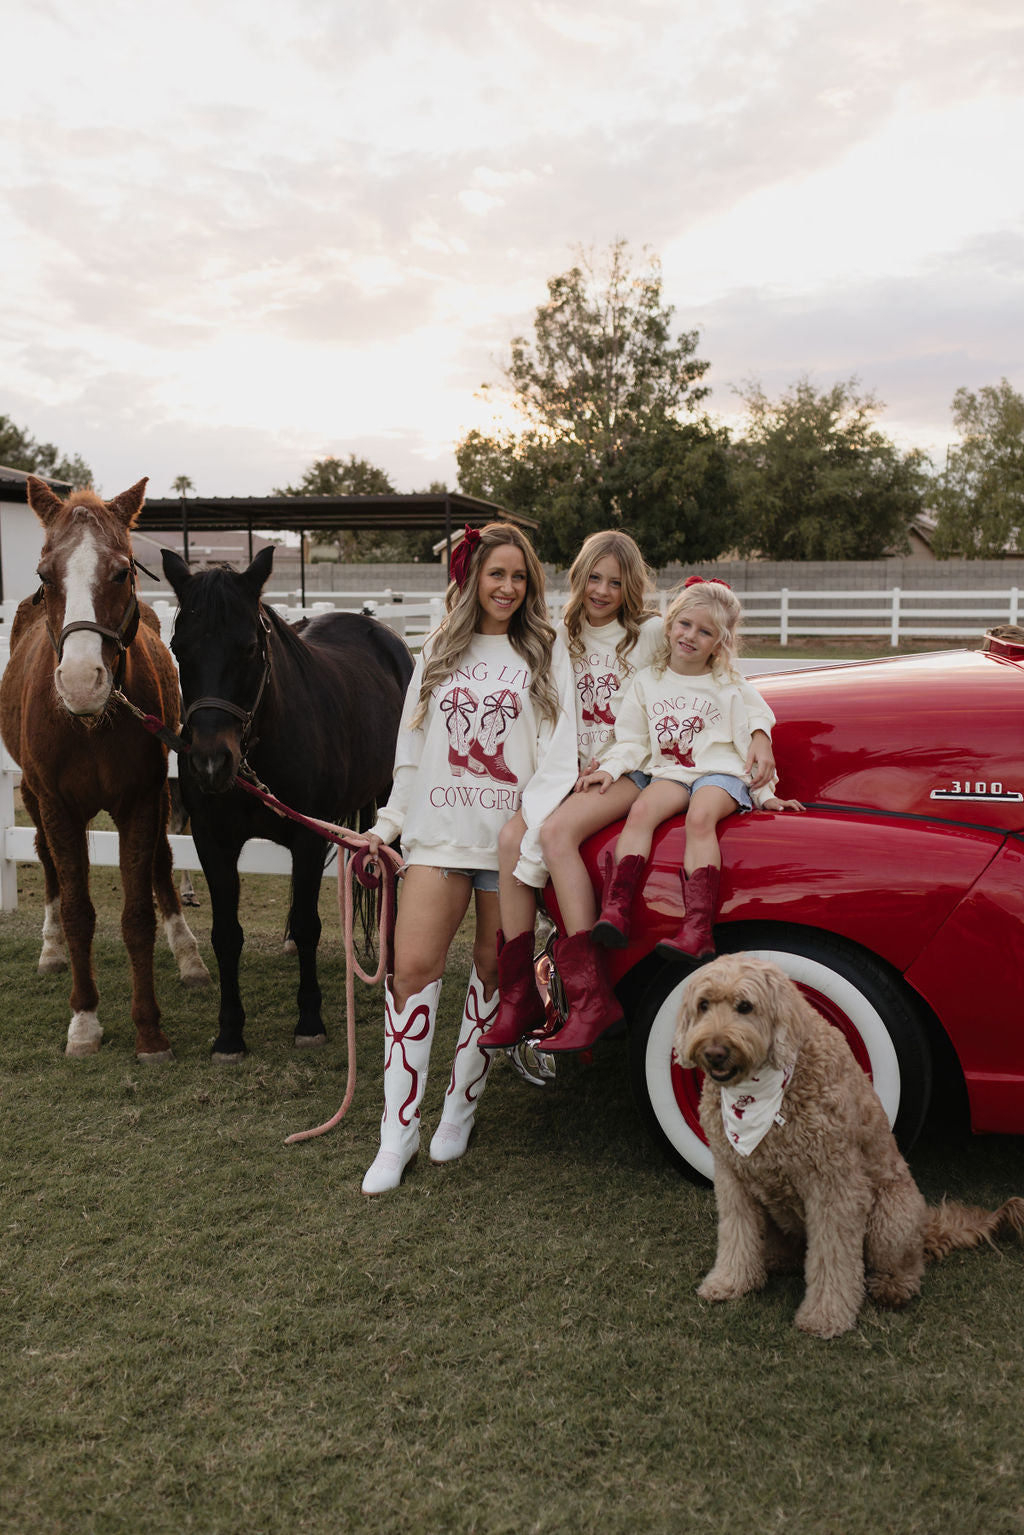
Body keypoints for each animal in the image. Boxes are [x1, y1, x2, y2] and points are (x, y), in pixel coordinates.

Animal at [0, 475, 210, 1056]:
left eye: (121, 572)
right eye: (44, 575)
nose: (79, 682)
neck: (90, 726)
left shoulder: (141, 800)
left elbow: (137, 913)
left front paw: (149, 1031)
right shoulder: (56, 807)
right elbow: (77, 911)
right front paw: (85, 1020)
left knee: (162, 861)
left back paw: (188, 956)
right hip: (31, 797)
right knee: (47, 864)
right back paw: (50, 950)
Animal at [161, 546, 414, 1062]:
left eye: (248, 648)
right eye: (179, 648)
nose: (210, 762)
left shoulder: (306, 839)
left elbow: (309, 921)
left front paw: (310, 1020)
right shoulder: (212, 842)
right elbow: (226, 933)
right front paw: (230, 1033)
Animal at [672, 951, 1024, 1338]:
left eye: (745, 1006)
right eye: (704, 1005)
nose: (714, 1052)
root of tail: (927, 1226)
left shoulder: (834, 1186)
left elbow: (833, 1257)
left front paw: (825, 1316)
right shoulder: (732, 1177)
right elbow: (736, 1236)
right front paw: (730, 1282)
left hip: (890, 1217)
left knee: (908, 1264)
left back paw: (892, 1287)